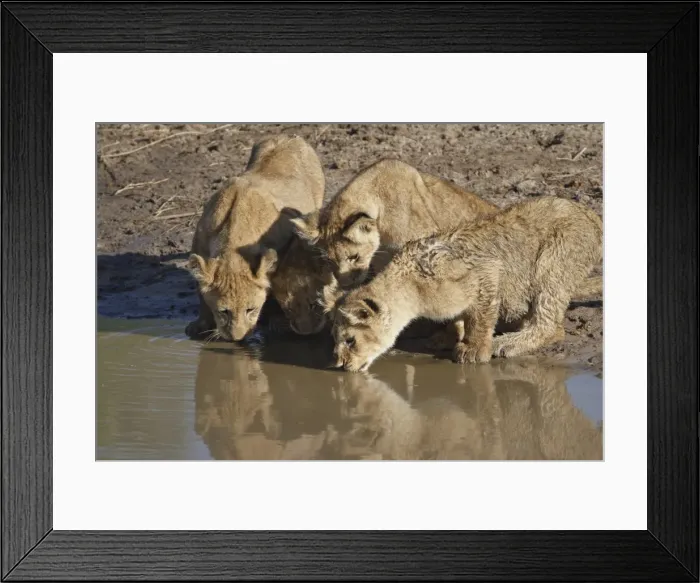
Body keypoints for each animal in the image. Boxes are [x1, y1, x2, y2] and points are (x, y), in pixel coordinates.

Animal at [186, 135, 324, 341]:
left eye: (250, 310)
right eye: (223, 311)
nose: (237, 338)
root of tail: (288, 136)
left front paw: (276, 320)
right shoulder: (199, 248)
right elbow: (200, 292)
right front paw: (201, 324)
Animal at [329, 197, 603, 371]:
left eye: (350, 340)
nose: (342, 365)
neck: (412, 290)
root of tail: (591, 214)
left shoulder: (486, 270)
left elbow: (480, 318)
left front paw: (473, 349)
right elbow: (459, 318)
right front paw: (448, 336)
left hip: (555, 259)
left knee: (551, 326)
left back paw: (509, 342)